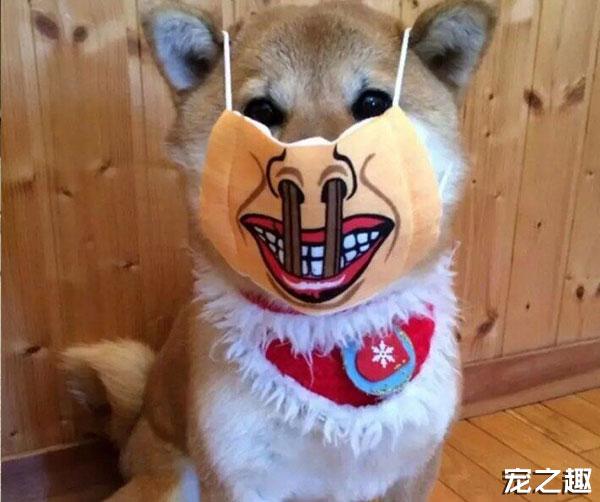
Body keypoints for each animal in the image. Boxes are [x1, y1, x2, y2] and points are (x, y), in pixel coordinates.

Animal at [64, 1, 496, 500]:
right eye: (261, 111)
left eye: (372, 106)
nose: (313, 177)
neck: (327, 340)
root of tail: (137, 426)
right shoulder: (237, 476)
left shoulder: (412, 469)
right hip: (175, 480)